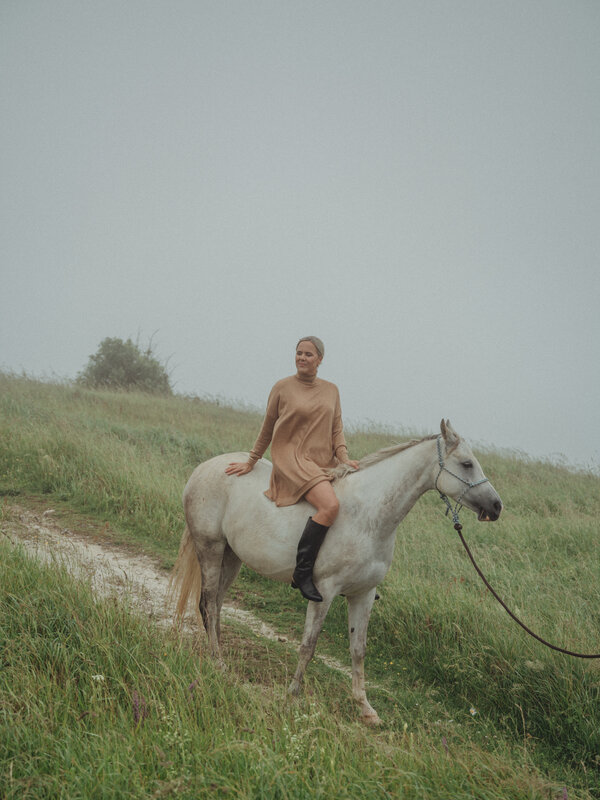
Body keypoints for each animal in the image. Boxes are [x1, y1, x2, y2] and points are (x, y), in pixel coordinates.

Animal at [171, 418, 504, 724]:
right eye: (467, 464)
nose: (496, 506)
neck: (368, 516)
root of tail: (205, 467)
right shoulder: (325, 591)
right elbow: (309, 645)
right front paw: (293, 694)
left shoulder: (363, 595)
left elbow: (358, 650)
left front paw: (365, 708)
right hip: (211, 548)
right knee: (208, 604)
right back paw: (218, 664)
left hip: (231, 557)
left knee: (215, 605)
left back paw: (219, 656)